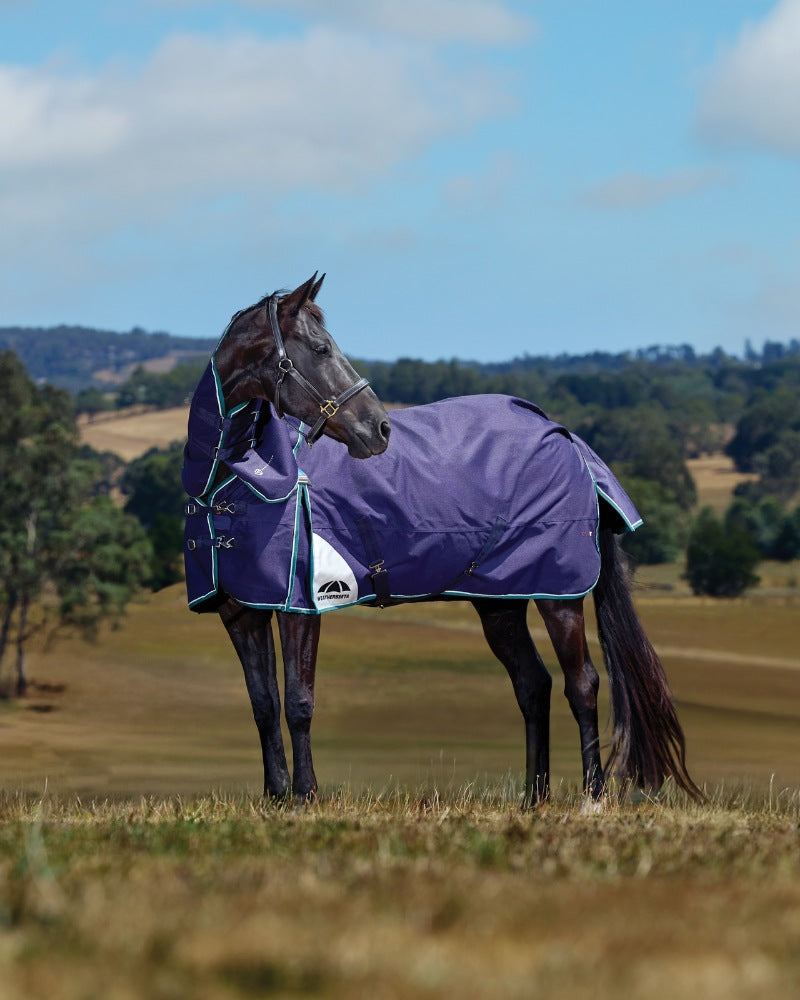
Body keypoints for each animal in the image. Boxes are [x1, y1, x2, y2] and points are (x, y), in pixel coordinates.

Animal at [183, 274, 700, 806]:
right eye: (321, 348)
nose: (380, 427)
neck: (240, 484)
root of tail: (566, 437)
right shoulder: (242, 613)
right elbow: (263, 704)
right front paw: (276, 795)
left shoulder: (300, 606)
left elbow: (299, 702)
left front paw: (306, 795)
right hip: (499, 602)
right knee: (532, 684)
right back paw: (533, 798)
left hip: (560, 595)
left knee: (583, 683)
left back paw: (592, 796)